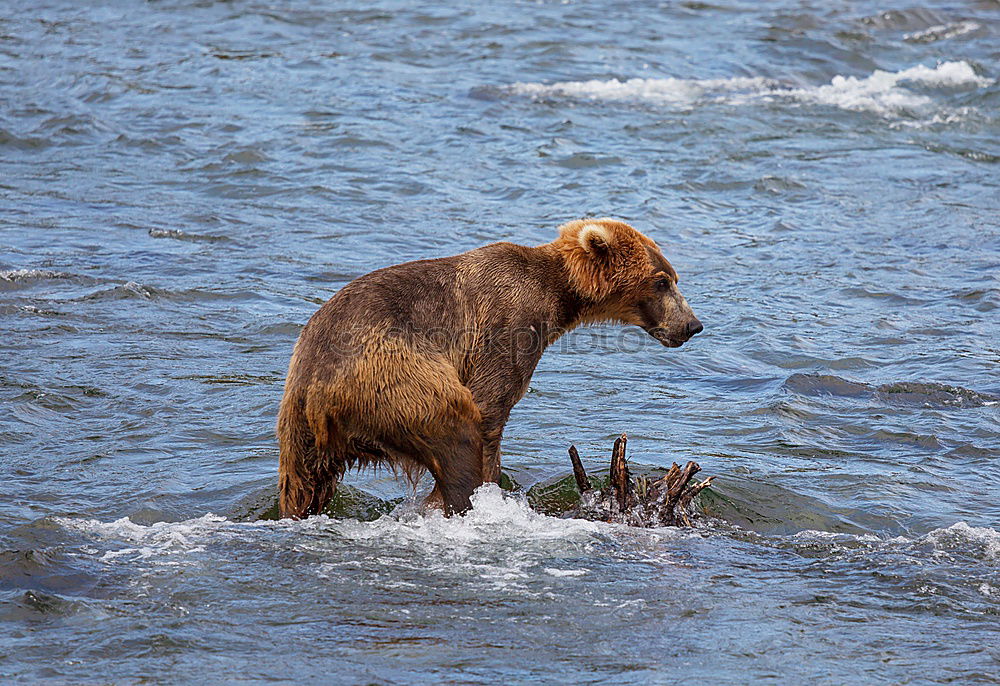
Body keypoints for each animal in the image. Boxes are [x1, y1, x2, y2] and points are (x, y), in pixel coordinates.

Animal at [276, 218, 704, 520]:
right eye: (661, 281)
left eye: (673, 278)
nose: (692, 325)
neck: (558, 296)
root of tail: (319, 392)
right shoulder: (507, 325)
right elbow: (489, 407)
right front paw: (489, 484)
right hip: (394, 376)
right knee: (454, 428)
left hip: (298, 418)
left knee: (301, 483)